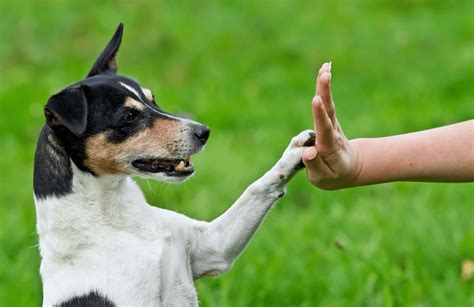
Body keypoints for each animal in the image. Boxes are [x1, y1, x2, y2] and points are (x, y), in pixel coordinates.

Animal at [34, 22, 314, 306]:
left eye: (152, 99)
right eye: (128, 116)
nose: (204, 131)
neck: (117, 221)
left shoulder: (213, 247)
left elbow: (257, 188)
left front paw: (296, 152)